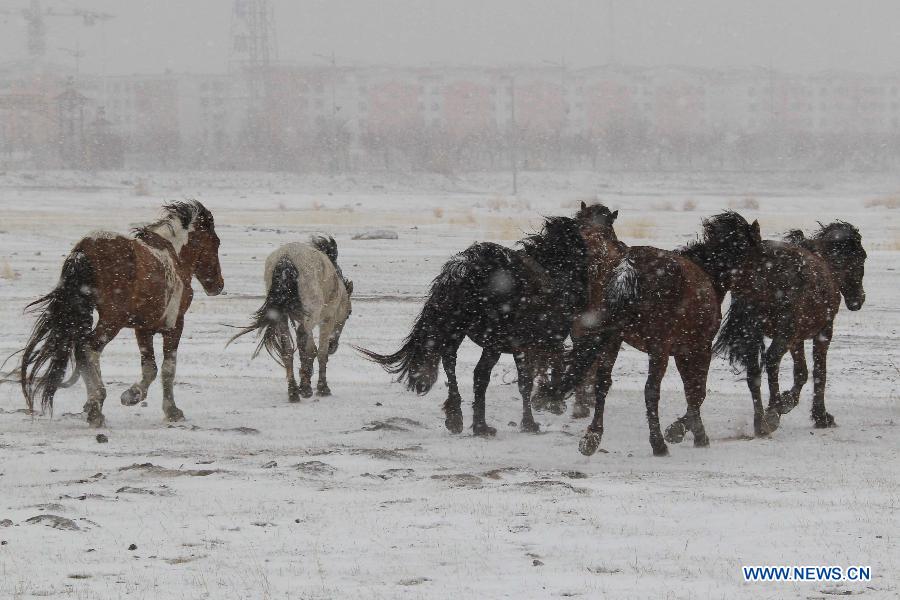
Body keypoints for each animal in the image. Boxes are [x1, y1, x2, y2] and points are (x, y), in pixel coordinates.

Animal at [14, 199, 224, 424]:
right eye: (216, 242)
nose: (218, 285)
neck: (175, 258)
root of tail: (84, 250)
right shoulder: (174, 325)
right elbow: (168, 369)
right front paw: (168, 409)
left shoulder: (143, 328)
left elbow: (150, 367)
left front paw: (132, 395)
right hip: (112, 321)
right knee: (88, 348)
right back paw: (96, 405)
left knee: (83, 350)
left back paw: (92, 405)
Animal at [230, 237, 354, 400]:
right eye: (349, 313)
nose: (334, 346)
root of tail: (286, 257)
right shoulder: (325, 320)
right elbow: (320, 352)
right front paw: (321, 387)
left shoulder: (303, 319)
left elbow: (311, 349)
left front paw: (305, 382)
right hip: (310, 316)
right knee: (301, 341)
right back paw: (304, 389)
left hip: (281, 317)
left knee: (287, 349)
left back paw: (294, 391)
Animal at [358, 211, 592, 436]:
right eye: (580, 247)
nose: (584, 294)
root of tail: (466, 269)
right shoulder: (529, 344)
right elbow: (530, 378)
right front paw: (534, 418)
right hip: (493, 341)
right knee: (477, 372)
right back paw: (479, 423)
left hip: (458, 331)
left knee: (452, 363)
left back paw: (460, 419)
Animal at [544, 205, 764, 454]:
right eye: (758, 254)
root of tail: (627, 266)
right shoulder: (697, 348)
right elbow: (697, 391)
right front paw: (684, 433)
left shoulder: (680, 351)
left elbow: (692, 390)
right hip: (658, 348)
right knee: (650, 390)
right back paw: (658, 443)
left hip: (613, 339)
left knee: (603, 382)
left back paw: (591, 437)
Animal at [712, 223, 868, 434]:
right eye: (862, 256)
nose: (858, 300)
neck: (826, 264)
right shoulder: (823, 332)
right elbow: (819, 373)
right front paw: (819, 415)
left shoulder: (797, 338)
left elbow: (801, 372)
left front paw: (788, 402)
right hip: (784, 332)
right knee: (771, 361)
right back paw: (772, 412)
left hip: (754, 332)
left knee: (754, 372)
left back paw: (760, 423)